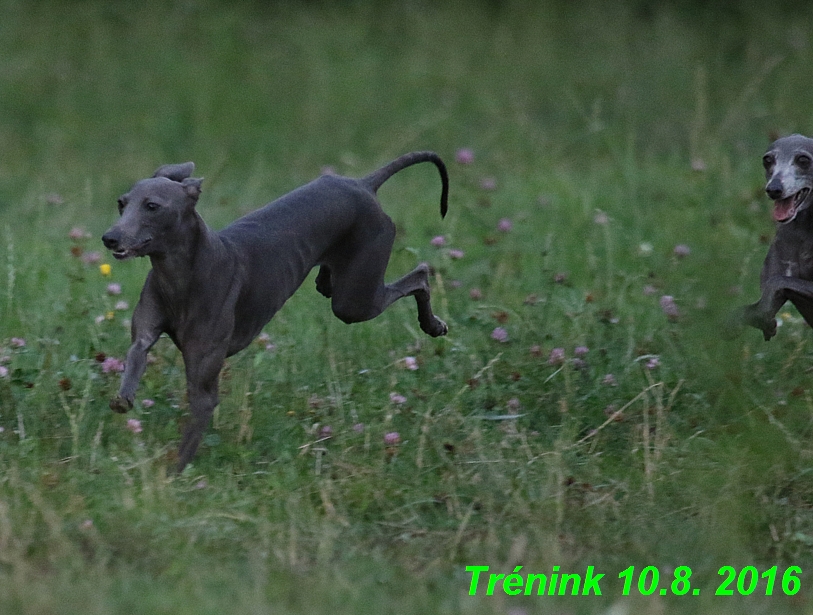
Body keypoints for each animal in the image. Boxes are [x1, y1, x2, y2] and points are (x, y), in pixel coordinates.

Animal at [101, 153, 450, 472]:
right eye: (121, 203)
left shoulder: (204, 385)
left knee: (419, 275)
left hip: (355, 302)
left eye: (152, 206)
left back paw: (432, 324)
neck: (180, 276)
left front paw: (172, 480)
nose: (109, 238)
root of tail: (363, 184)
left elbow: (191, 432)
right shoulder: (146, 331)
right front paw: (124, 396)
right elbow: (137, 352)